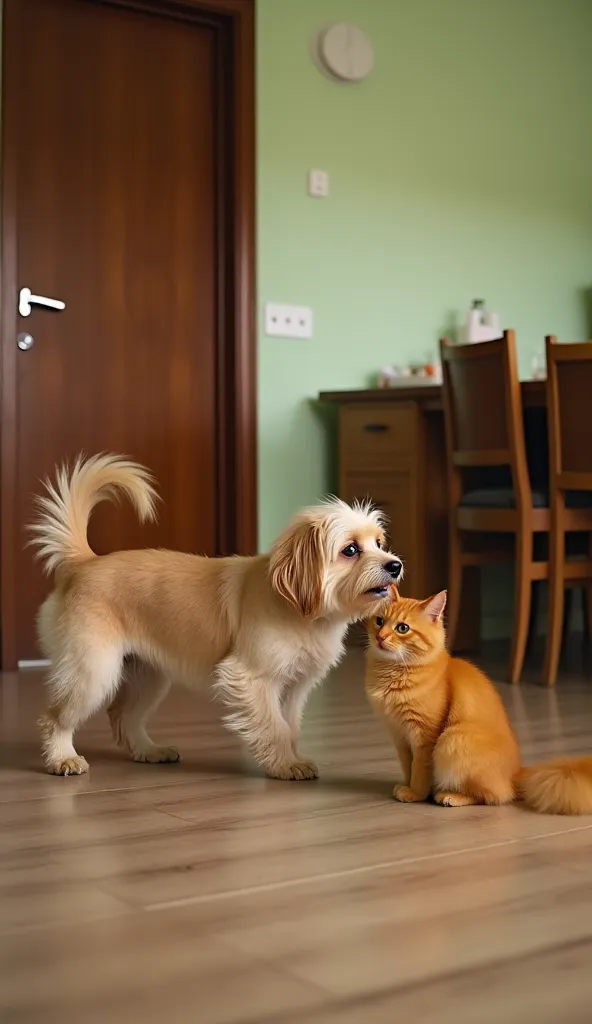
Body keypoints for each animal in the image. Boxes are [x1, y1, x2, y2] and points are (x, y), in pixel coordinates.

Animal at [31, 452, 401, 778]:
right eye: (350, 550)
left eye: (379, 543)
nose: (395, 565)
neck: (301, 611)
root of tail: (84, 562)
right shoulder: (249, 678)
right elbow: (273, 726)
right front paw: (285, 765)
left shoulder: (293, 687)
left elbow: (289, 726)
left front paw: (291, 758)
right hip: (93, 671)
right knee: (54, 718)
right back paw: (62, 758)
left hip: (147, 676)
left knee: (123, 716)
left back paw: (150, 750)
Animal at [362, 593, 589, 815]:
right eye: (379, 621)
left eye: (402, 628)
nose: (380, 636)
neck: (393, 673)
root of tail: (515, 773)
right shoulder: (399, 735)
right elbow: (407, 766)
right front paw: (407, 786)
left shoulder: (424, 736)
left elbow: (419, 769)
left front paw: (415, 793)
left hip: (454, 739)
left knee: (494, 796)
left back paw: (448, 796)